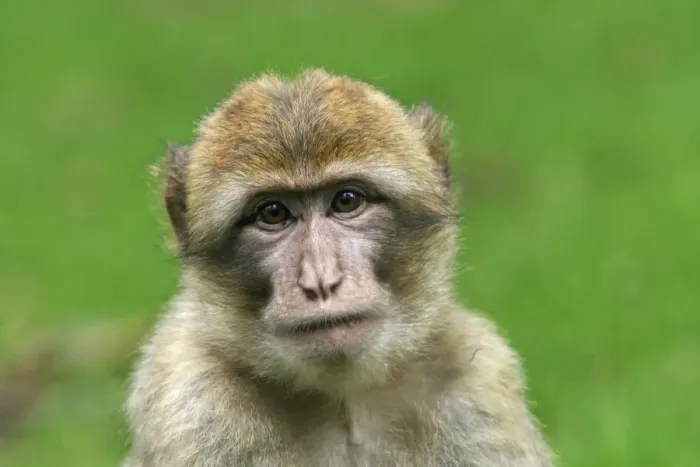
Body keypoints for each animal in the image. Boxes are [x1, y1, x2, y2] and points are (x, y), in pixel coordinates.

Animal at [123, 68, 555, 467]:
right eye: (273, 213)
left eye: (347, 201)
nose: (321, 282)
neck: (346, 401)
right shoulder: (195, 407)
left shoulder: (479, 391)